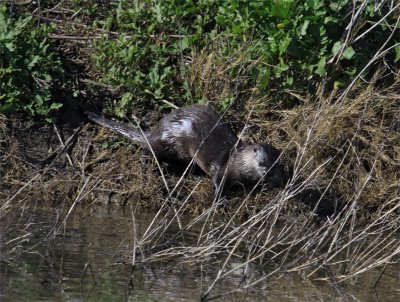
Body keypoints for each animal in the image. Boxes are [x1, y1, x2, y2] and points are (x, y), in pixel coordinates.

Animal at [86, 104, 282, 193]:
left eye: (275, 164)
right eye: (262, 162)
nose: (270, 174)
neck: (238, 161)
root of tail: (157, 130)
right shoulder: (223, 169)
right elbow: (217, 181)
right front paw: (219, 200)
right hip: (171, 143)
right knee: (148, 148)